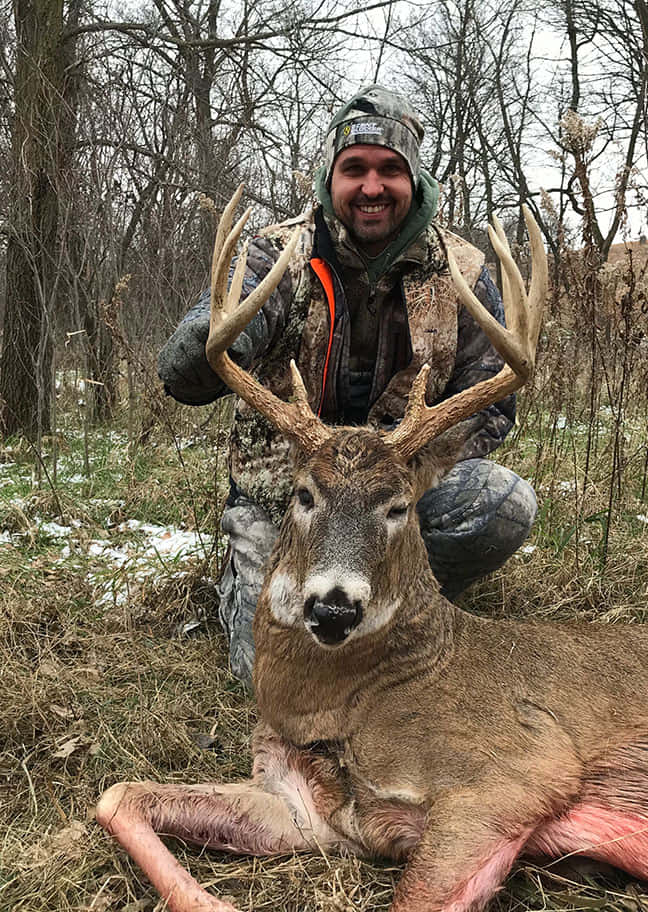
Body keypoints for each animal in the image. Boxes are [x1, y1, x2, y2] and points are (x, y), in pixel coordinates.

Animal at [96, 186, 648, 912]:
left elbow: (415, 896)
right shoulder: (295, 804)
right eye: (304, 494)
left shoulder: (518, 774)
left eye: (399, 505)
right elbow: (117, 794)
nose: (333, 608)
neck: (341, 706)